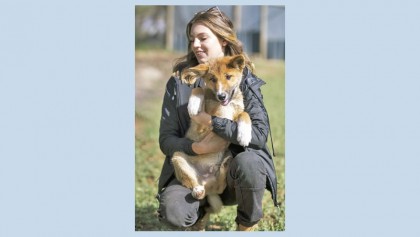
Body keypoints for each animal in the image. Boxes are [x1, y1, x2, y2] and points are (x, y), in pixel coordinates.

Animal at [171, 55, 251, 213]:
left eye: (228, 76)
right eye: (212, 79)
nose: (221, 96)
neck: (225, 104)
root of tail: (206, 182)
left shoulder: (235, 115)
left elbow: (245, 114)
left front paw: (244, 134)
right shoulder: (200, 125)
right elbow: (199, 88)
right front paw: (194, 104)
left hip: (226, 158)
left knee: (219, 188)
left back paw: (224, 166)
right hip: (178, 157)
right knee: (195, 186)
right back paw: (197, 190)